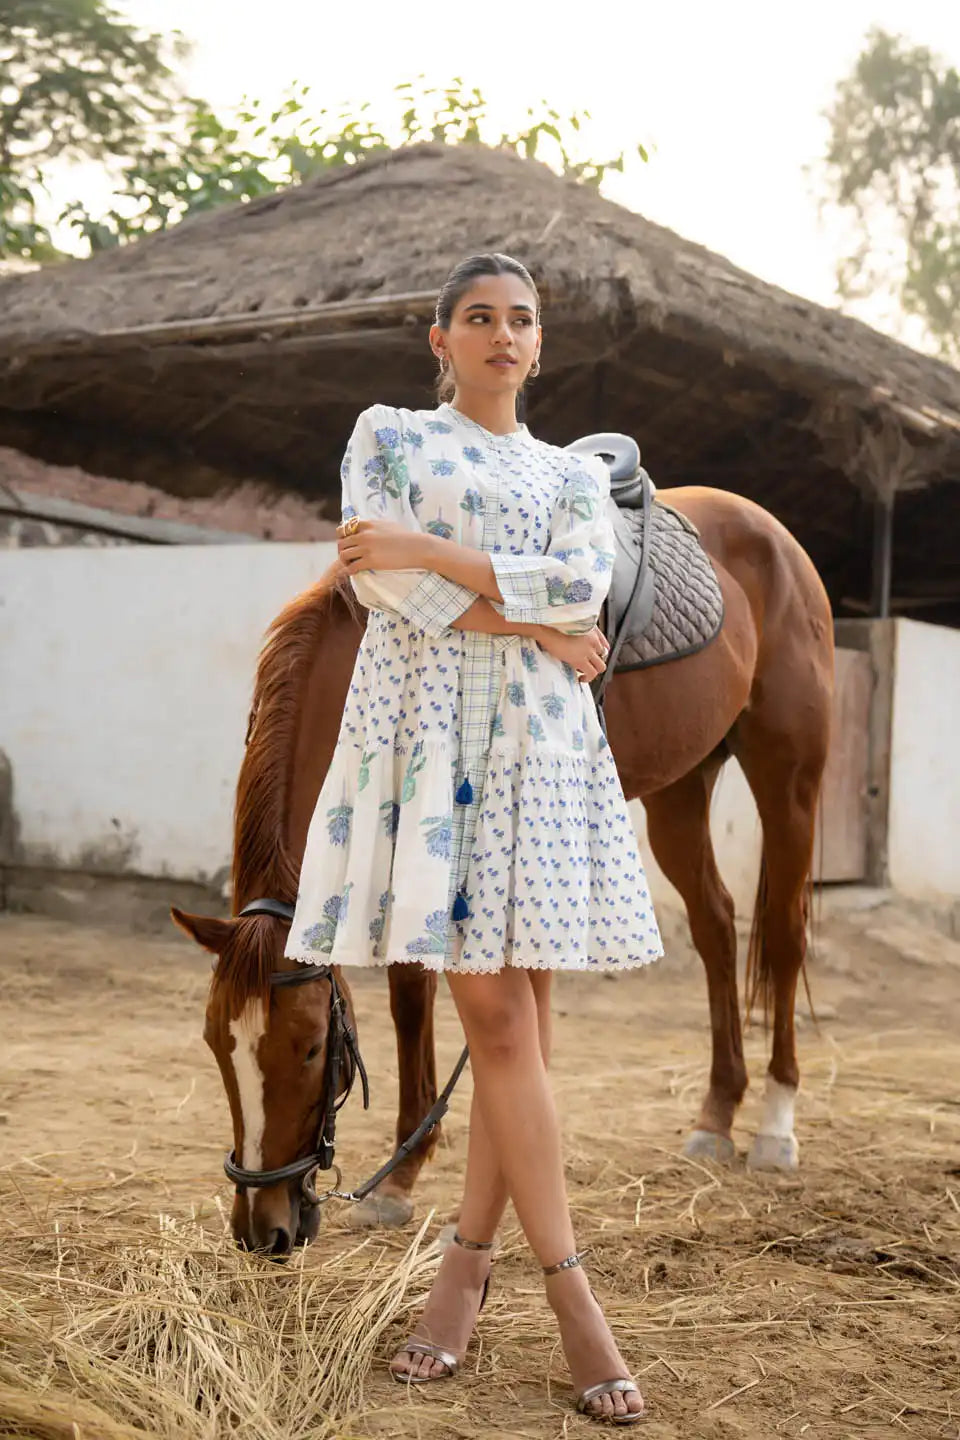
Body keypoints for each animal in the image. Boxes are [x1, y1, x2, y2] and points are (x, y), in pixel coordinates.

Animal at [172, 483, 834, 1249]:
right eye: (215, 1042)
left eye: (310, 1048)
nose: (263, 1229)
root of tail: (775, 537)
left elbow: (421, 993)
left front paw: (405, 1176)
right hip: (681, 788)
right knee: (717, 926)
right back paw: (716, 1118)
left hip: (789, 778)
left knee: (782, 936)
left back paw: (776, 1127)